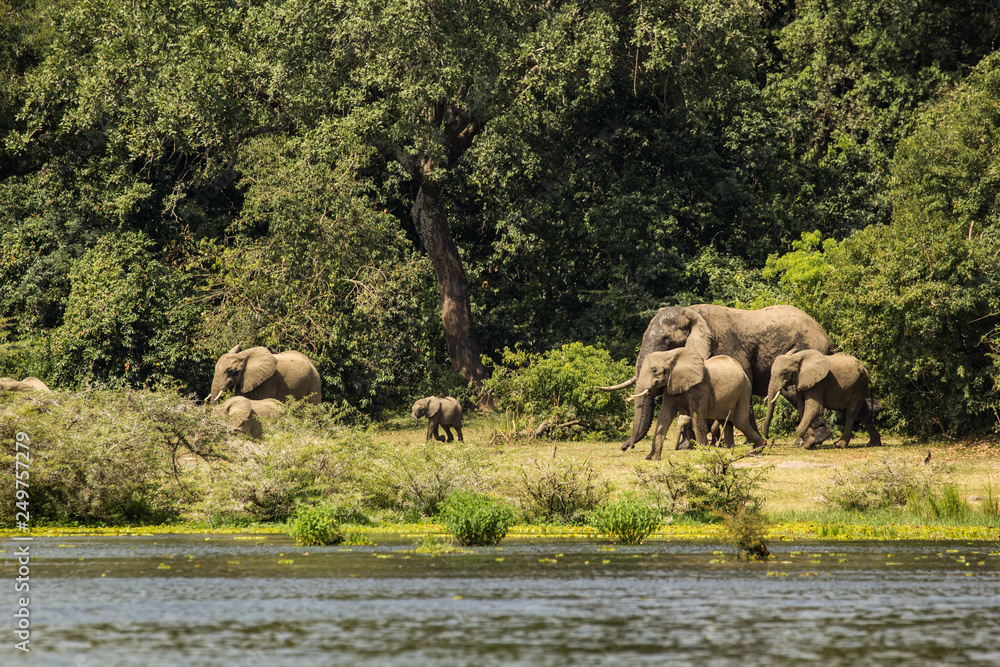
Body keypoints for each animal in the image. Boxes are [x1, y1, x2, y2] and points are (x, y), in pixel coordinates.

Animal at [626, 348, 765, 460]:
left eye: (654, 370)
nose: (630, 447)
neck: (670, 354)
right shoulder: (670, 387)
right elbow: (664, 417)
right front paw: (654, 459)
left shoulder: (700, 390)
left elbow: (697, 419)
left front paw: (703, 455)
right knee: (726, 423)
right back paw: (732, 452)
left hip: (745, 389)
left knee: (741, 422)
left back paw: (758, 449)